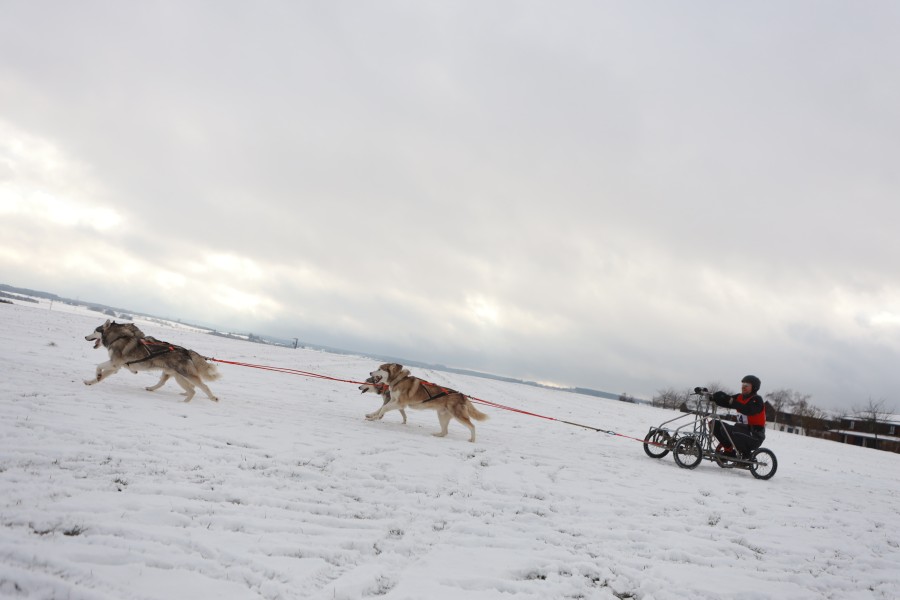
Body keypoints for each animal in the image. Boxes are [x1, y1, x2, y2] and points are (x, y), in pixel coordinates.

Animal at [83, 318, 221, 404]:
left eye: (95, 330)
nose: (85, 337)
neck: (118, 337)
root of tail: (187, 351)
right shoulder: (115, 367)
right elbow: (101, 375)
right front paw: (91, 382)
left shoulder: (114, 363)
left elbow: (98, 366)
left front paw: (98, 375)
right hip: (178, 377)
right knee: (188, 389)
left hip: (186, 375)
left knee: (201, 387)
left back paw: (198, 400)